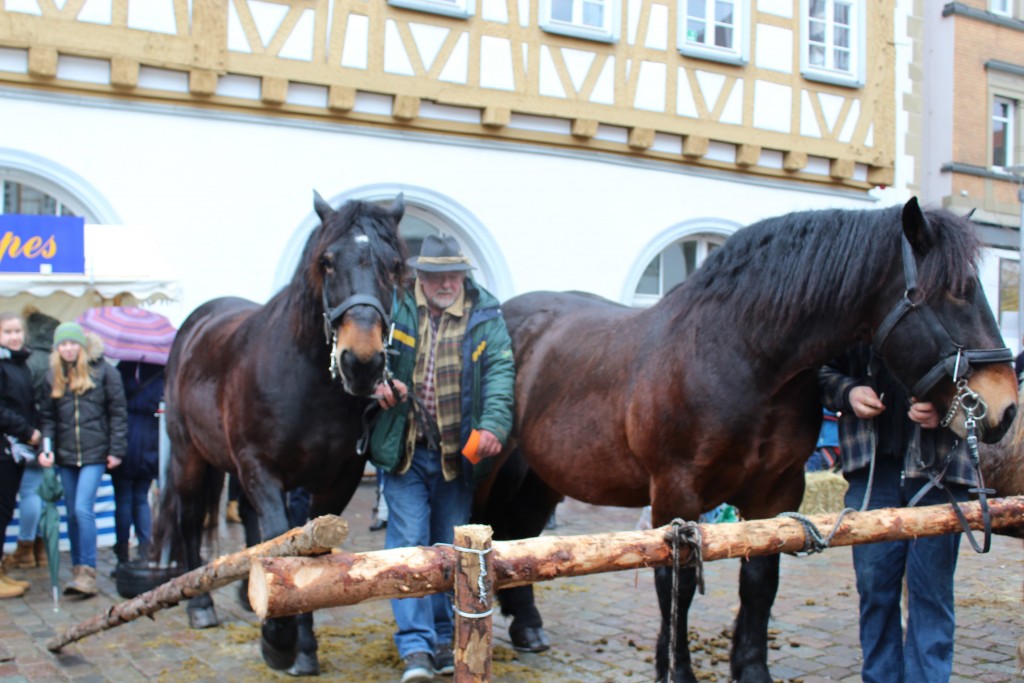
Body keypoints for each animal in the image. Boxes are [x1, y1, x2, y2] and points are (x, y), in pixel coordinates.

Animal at [152, 194, 407, 675]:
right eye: (327, 261)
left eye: (396, 265)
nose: (361, 362)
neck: (305, 377)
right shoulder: (260, 468)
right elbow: (283, 537)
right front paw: (279, 640)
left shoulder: (337, 480)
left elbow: (309, 550)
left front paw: (302, 645)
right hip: (187, 454)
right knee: (189, 517)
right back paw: (201, 607)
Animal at [475, 197, 1019, 683]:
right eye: (956, 291)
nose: (1006, 407)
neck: (741, 357)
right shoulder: (676, 493)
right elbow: (676, 583)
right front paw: (676, 671)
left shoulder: (775, 492)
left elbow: (760, 581)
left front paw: (751, 668)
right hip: (490, 468)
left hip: (542, 475)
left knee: (520, 534)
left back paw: (528, 626)